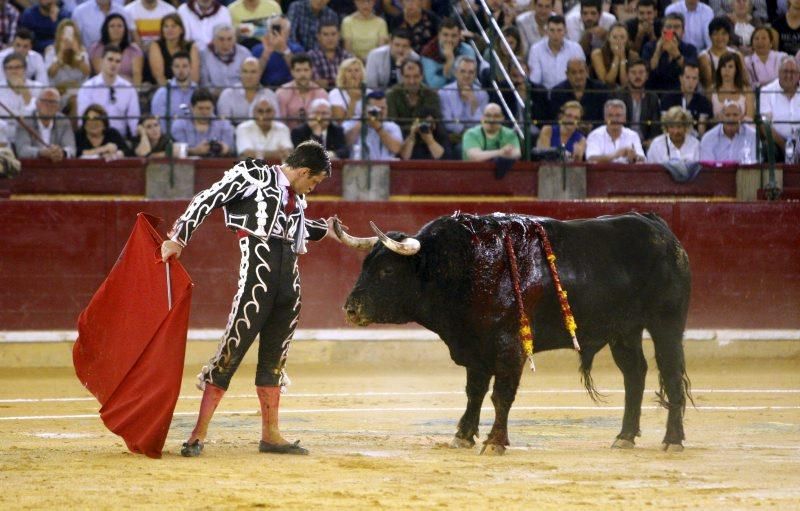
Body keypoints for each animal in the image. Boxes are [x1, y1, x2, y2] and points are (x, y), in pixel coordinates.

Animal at [334, 211, 692, 456]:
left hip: (666, 324)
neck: (464, 266)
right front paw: (462, 436)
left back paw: (672, 440)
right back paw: (625, 436)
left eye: (386, 270)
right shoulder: (475, 348)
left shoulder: (510, 348)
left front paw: (494, 442)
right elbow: (474, 392)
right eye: (364, 265)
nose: (350, 309)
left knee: (672, 375)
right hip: (624, 331)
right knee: (635, 375)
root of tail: (660, 228)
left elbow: (500, 395)